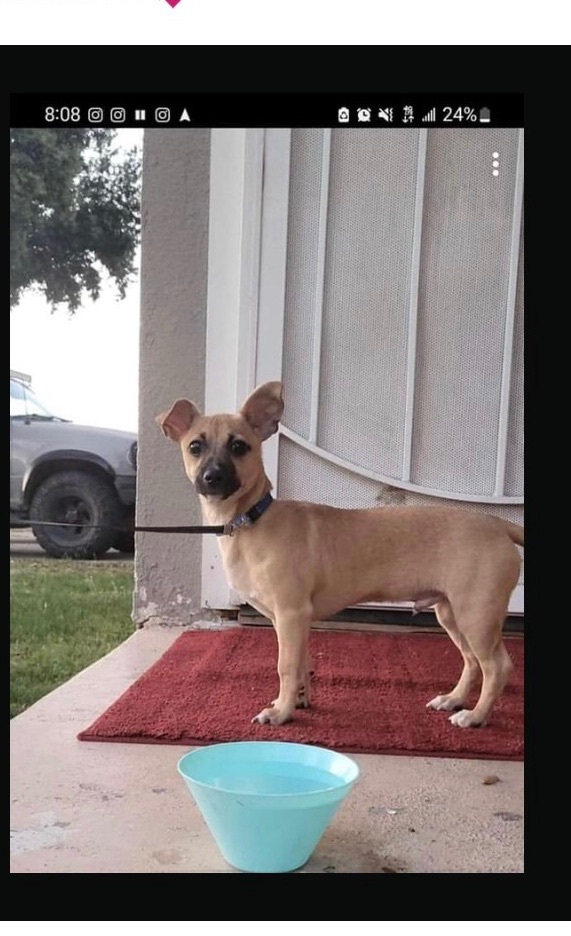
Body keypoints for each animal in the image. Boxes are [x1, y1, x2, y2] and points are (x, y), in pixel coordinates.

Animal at [156, 380, 524, 732]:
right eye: (195, 447)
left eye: (238, 446)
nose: (212, 477)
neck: (251, 521)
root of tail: (498, 525)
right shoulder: (292, 622)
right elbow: (302, 664)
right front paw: (295, 702)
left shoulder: (291, 614)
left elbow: (285, 666)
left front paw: (280, 714)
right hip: (451, 613)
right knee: (472, 662)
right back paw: (454, 700)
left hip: (476, 614)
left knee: (497, 667)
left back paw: (475, 716)